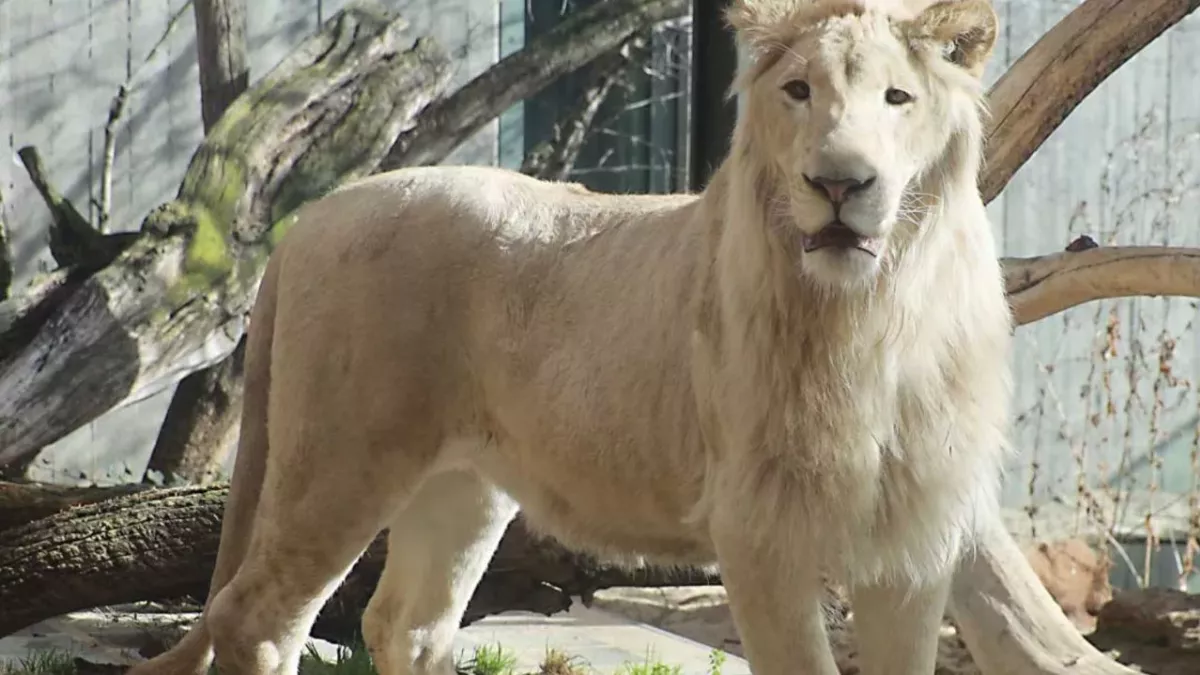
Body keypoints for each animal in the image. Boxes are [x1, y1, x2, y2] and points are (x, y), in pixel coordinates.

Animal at [129, 1, 1012, 674]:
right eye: (799, 91)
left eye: (898, 98)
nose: (838, 182)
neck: (873, 313)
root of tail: (315, 215)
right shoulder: (759, 533)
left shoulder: (914, 545)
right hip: (339, 461)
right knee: (257, 620)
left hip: (459, 483)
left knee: (403, 624)